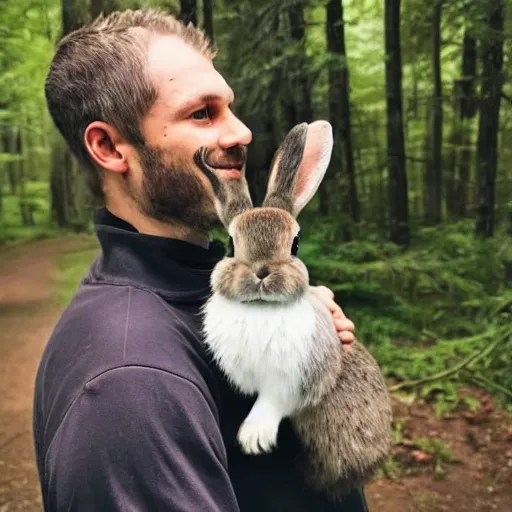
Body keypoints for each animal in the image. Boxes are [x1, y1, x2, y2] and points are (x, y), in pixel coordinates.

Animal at [195, 120, 392, 500]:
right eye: (230, 245)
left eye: (295, 244)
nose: (261, 272)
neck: (259, 309)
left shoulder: (297, 376)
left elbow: (273, 401)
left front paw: (253, 439)